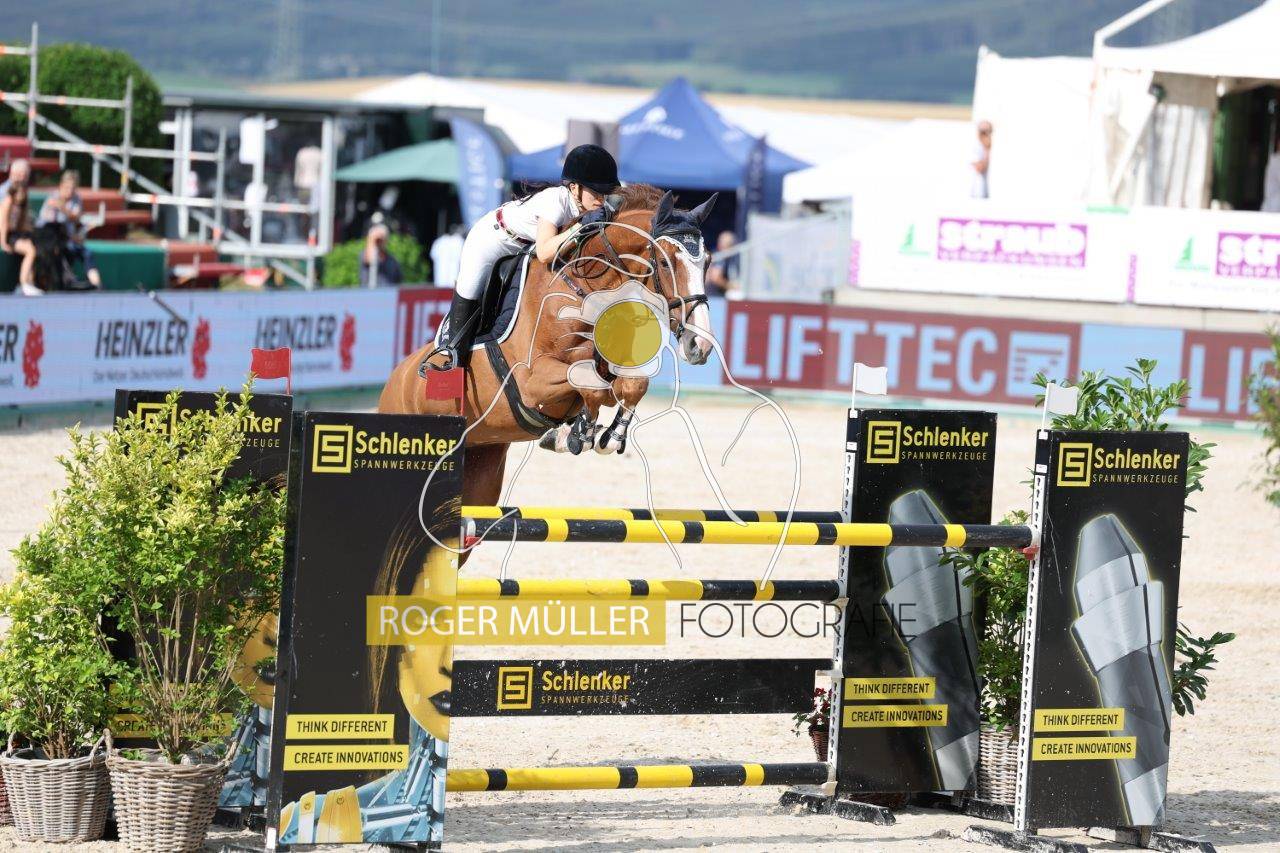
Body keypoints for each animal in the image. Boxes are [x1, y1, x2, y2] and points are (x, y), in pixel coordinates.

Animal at [377, 184, 716, 511]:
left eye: (708, 262)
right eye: (666, 262)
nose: (699, 344)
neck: (589, 290)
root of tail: (395, 380)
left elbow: (631, 385)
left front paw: (605, 436)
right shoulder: (532, 381)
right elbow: (593, 385)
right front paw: (577, 434)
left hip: (481, 462)